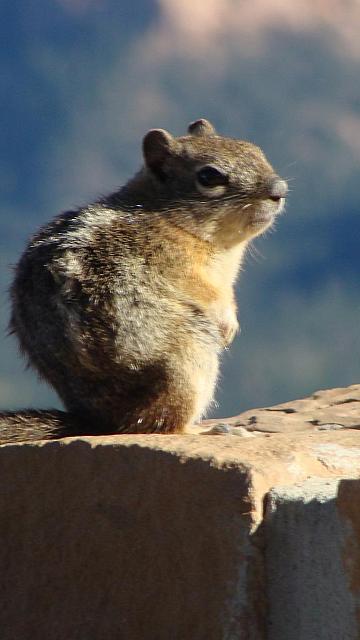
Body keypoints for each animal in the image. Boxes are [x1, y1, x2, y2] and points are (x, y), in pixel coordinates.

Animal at [0, 117, 286, 442]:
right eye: (209, 176)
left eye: (255, 149)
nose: (279, 190)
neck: (169, 217)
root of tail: (100, 422)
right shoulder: (178, 268)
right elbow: (209, 295)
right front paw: (228, 323)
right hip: (189, 358)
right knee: (161, 423)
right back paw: (211, 429)